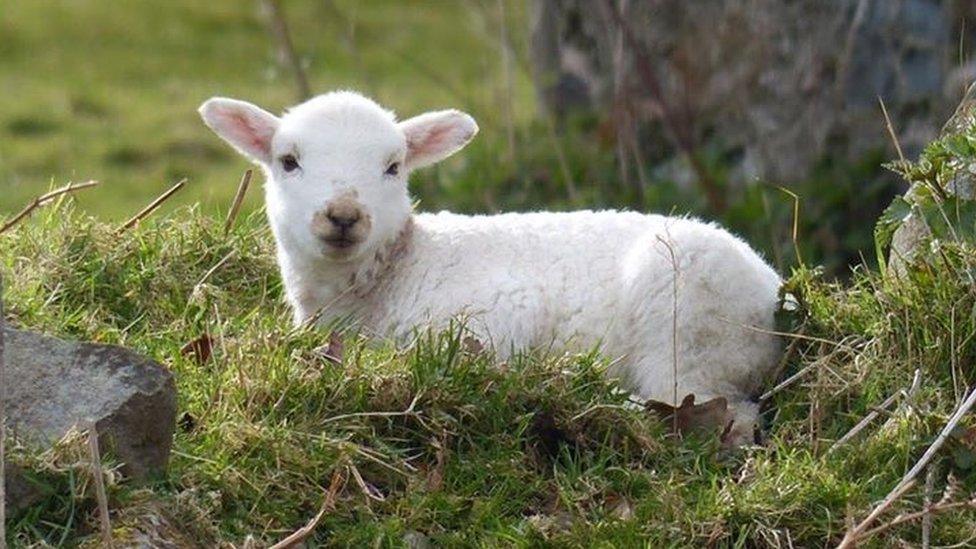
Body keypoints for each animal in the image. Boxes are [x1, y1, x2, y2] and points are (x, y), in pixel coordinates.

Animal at [200, 90, 784, 440]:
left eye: (393, 167)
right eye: (288, 162)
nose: (343, 215)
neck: (393, 275)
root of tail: (774, 292)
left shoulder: (500, 311)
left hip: (690, 330)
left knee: (724, 414)